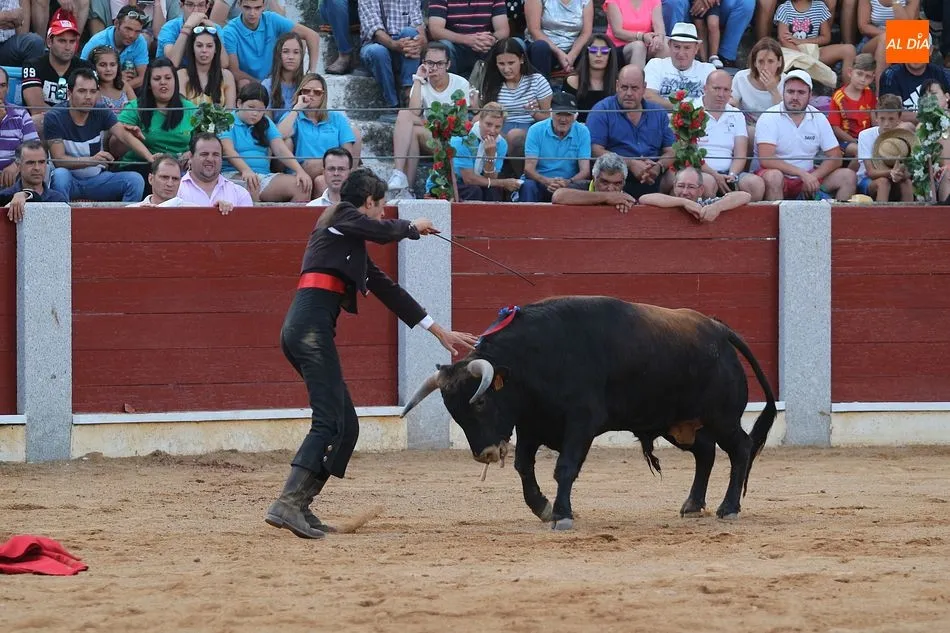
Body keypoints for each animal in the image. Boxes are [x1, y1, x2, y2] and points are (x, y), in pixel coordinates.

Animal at [401, 295, 777, 530]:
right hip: (679, 424)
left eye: (479, 402)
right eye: (452, 410)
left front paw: (562, 515)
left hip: (721, 418)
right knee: (705, 453)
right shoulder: (532, 424)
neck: (535, 358)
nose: (486, 454)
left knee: (740, 449)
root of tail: (720, 330)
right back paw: (693, 505)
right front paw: (544, 507)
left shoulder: (581, 423)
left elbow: (565, 467)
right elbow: (524, 467)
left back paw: (729, 508)